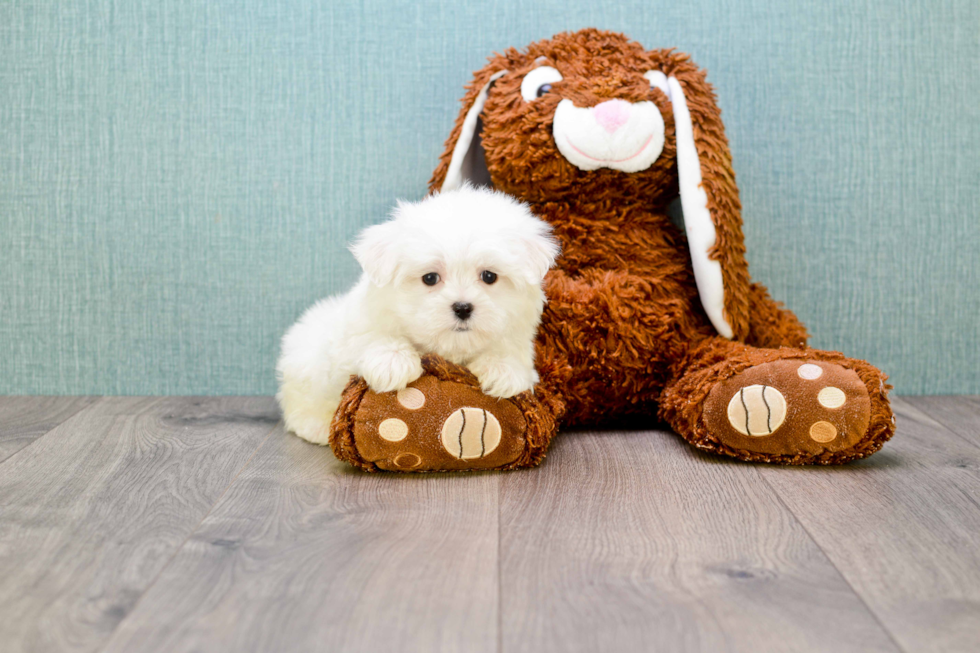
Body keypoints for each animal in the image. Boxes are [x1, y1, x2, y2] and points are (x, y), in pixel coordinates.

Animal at [276, 186, 560, 446]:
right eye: (430, 278)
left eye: (489, 276)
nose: (462, 307)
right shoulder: (360, 326)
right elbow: (371, 336)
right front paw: (393, 361)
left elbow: (510, 352)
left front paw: (502, 369)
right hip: (305, 363)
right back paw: (317, 426)